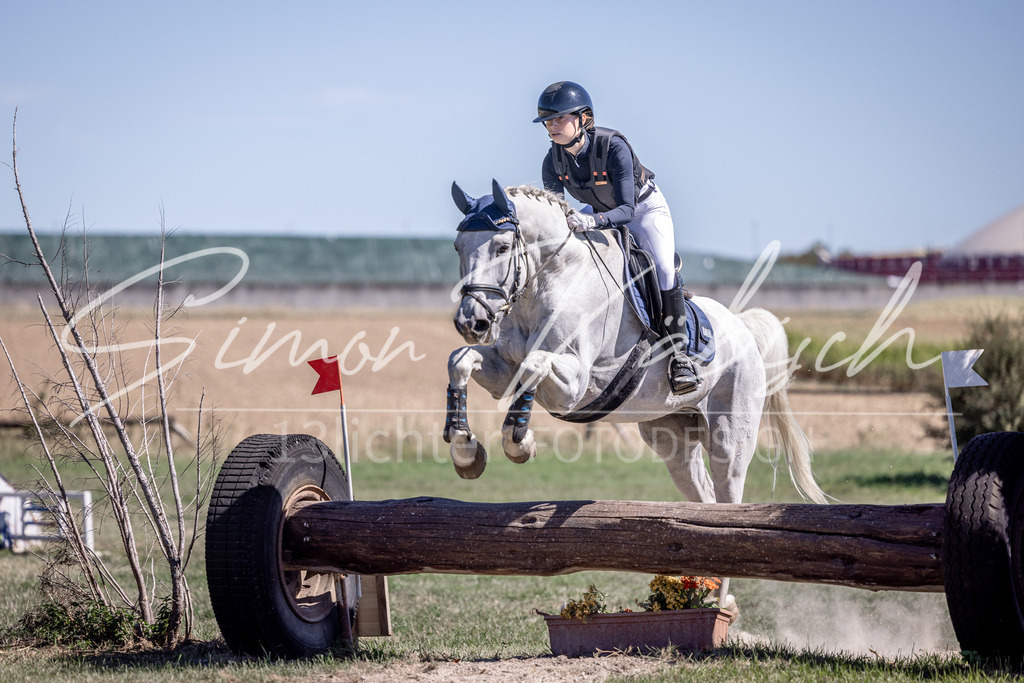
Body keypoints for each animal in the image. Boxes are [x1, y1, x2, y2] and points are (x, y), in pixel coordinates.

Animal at [443, 180, 827, 610]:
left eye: (502, 247)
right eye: (458, 247)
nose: (471, 322)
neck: (550, 281)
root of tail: (741, 327)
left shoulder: (572, 385)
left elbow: (533, 367)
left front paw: (518, 443)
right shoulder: (502, 369)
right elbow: (460, 360)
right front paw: (465, 449)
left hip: (730, 437)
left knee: (730, 506)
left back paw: (718, 603)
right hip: (673, 440)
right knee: (704, 503)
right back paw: (701, 590)